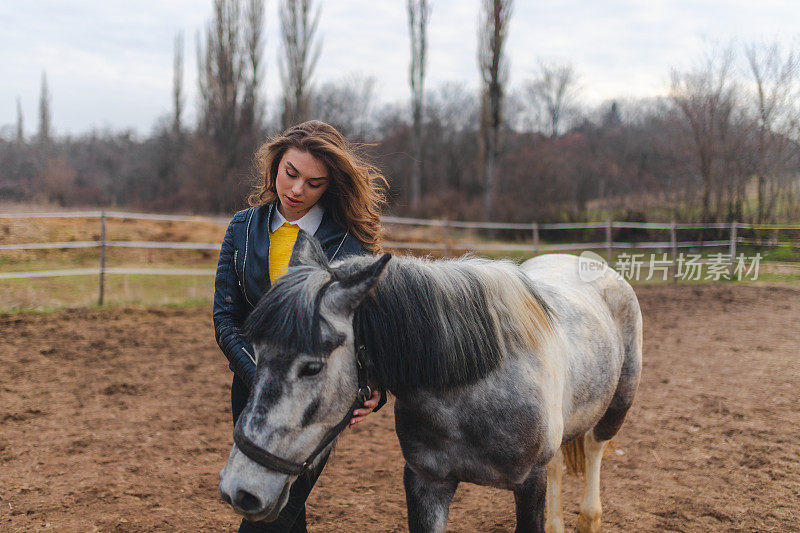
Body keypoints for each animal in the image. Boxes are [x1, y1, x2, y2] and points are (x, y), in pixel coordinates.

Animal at [220, 233, 644, 532]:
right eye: (256, 350)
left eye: (312, 367)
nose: (238, 489)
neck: (472, 390)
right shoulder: (426, 482)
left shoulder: (529, 485)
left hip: (618, 403)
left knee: (594, 447)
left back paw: (589, 517)